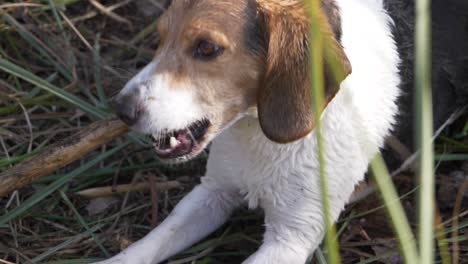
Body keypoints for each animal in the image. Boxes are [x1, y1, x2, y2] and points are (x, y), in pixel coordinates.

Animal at [96, 0, 468, 264]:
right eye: (159, 40)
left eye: (207, 48)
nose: (121, 109)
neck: (256, 133)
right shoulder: (213, 193)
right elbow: (147, 245)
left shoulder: (290, 240)